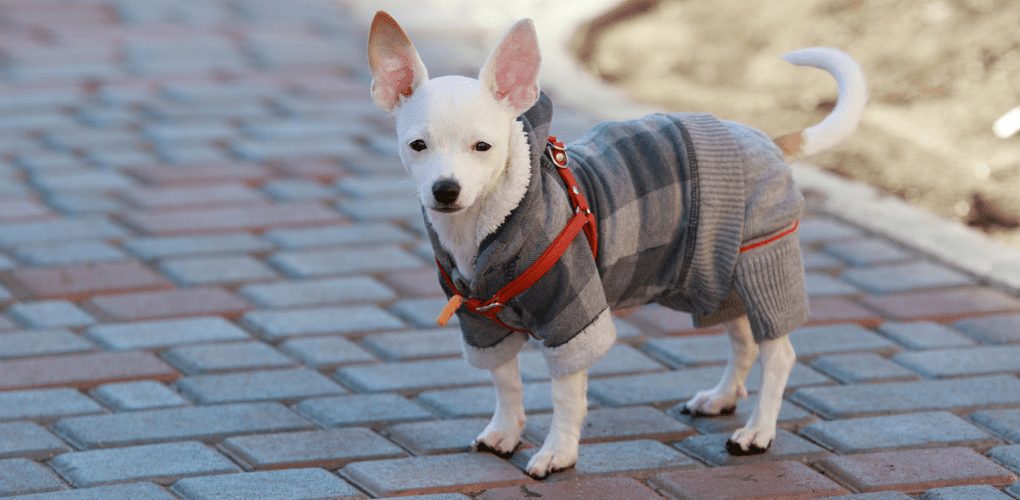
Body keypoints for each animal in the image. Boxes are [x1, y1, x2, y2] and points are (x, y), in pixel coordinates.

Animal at [367, 10, 860, 479]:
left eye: (483, 147)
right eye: (417, 146)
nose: (445, 189)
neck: (481, 232)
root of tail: (770, 141)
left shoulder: (572, 317)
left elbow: (566, 397)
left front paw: (558, 454)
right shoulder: (482, 323)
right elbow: (505, 381)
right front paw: (505, 431)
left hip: (762, 264)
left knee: (777, 354)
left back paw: (758, 430)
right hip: (716, 279)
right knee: (743, 341)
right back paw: (721, 397)